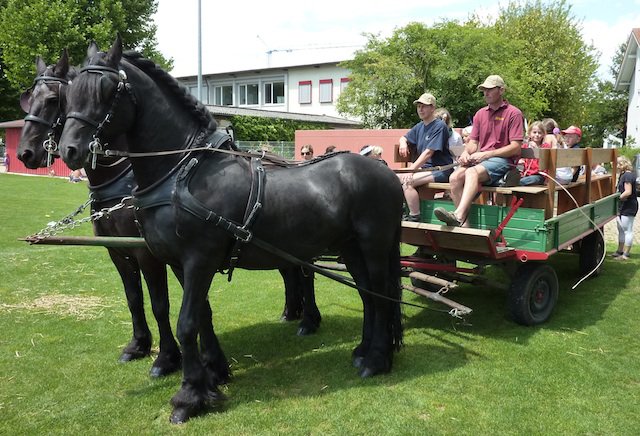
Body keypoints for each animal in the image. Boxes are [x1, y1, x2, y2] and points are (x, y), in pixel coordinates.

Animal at [57, 35, 402, 424]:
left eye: (106, 89)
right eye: (70, 93)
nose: (70, 149)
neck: (183, 172)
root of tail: (386, 171)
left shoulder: (198, 259)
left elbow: (186, 323)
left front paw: (188, 397)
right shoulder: (179, 263)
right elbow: (201, 317)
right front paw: (212, 376)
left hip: (373, 246)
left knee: (380, 295)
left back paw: (376, 360)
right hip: (350, 248)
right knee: (368, 296)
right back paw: (364, 351)